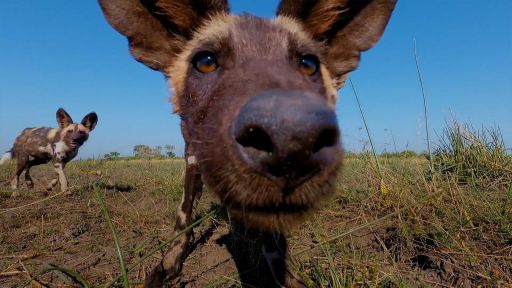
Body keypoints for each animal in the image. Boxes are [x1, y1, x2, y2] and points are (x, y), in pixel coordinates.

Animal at [99, 0, 396, 286]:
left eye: (308, 64)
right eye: (205, 61)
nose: (291, 139)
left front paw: (284, 276)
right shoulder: (193, 156)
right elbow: (184, 216)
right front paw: (170, 263)